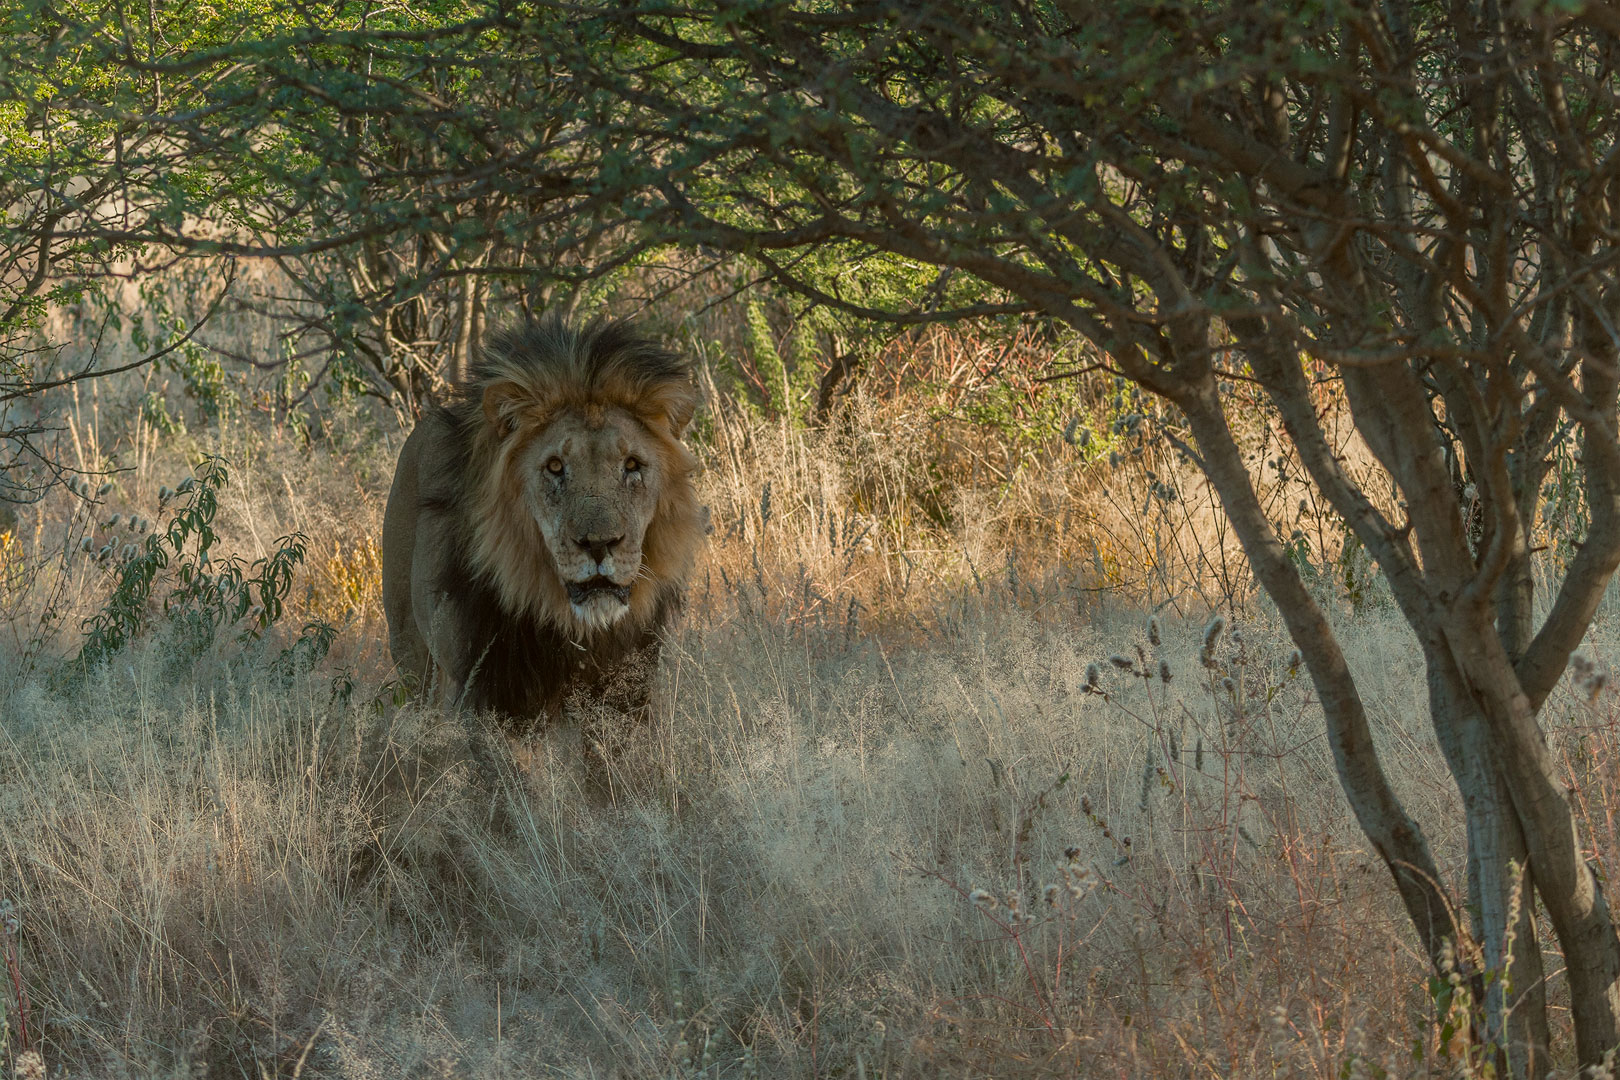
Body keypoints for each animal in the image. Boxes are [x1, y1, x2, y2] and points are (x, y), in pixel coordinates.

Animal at [385, 317, 709, 731]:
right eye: (555, 467)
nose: (599, 544)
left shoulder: (624, 695)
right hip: (414, 659)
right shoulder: (483, 692)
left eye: (632, 465)